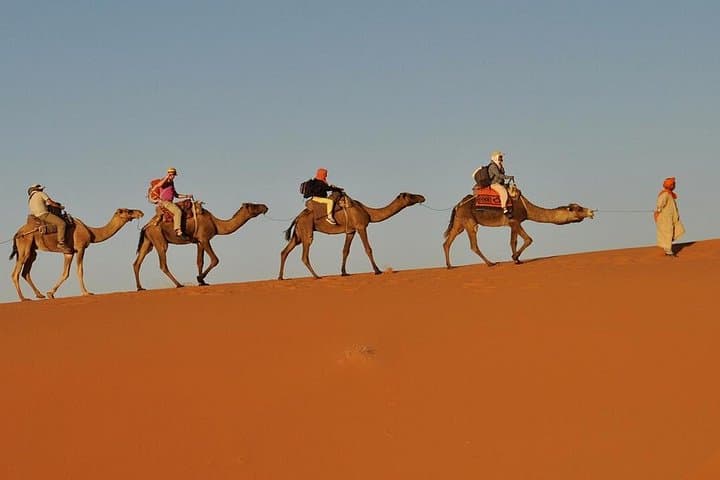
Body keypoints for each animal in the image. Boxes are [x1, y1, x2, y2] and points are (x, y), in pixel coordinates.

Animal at [9, 208, 145, 301]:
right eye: (128, 211)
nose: (140, 212)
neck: (91, 232)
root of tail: (17, 233)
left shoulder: (68, 252)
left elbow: (65, 273)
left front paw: (50, 293)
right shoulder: (80, 248)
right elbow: (80, 271)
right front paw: (86, 292)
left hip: (32, 251)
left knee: (25, 272)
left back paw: (39, 295)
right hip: (25, 246)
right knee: (15, 273)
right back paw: (23, 298)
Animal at [133, 202, 268, 290]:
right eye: (254, 206)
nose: (265, 207)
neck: (216, 224)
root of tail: (146, 226)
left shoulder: (199, 242)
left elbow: (199, 261)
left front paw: (202, 282)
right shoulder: (205, 239)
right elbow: (215, 259)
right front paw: (199, 278)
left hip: (148, 241)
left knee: (137, 263)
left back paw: (140, 288)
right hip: (159, 239)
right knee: (163, 264)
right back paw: (179, 284)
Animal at [278, 192, 426, 280]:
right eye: (410, 195)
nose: (422, 197)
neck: (368, 212)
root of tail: (297, 217)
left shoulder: (350, 231)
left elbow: (345, 251)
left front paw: (344, 273)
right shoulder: (361, 227)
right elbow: (368, 249)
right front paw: (377, 271)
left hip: (298, 234)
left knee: (284, 251)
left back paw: (280, 277)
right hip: (307, 230)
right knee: (304, 255)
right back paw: (317, 276)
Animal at [443, 183, 594, 267]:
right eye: (578, 209)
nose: (591, 212)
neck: (526, 208)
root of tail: (457, 205)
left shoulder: (512, 224)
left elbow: (513, 241)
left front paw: (517, 260)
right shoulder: (515, 221)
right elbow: (528, 239)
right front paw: (515, 258)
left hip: (460, 222)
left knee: (447, 242)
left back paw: (450, 266)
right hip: (469, 221)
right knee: (473, 245)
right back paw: (490, 263)